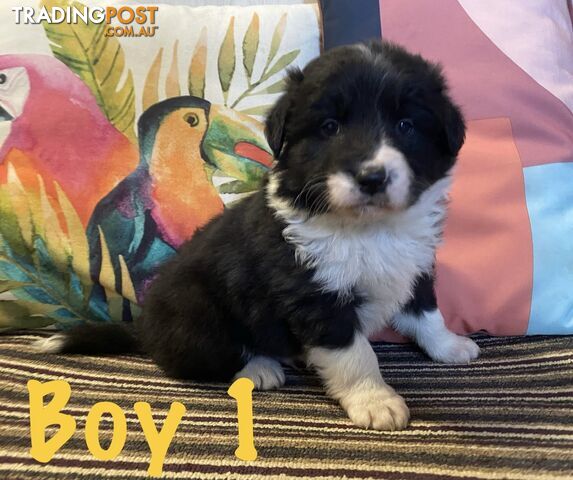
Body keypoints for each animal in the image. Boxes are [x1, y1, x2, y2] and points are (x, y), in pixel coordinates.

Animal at [38, 41, 478, 430]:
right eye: (330, 127)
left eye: (406, 126)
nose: (371, 177)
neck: (369, 227)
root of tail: (143, 329)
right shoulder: (314, 295)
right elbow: (356, 354)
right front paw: (375, 400)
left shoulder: (415, 265)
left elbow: (427, 313)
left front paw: (450, 346)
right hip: (197, 306)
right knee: (205, 358)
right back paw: (260, 366)